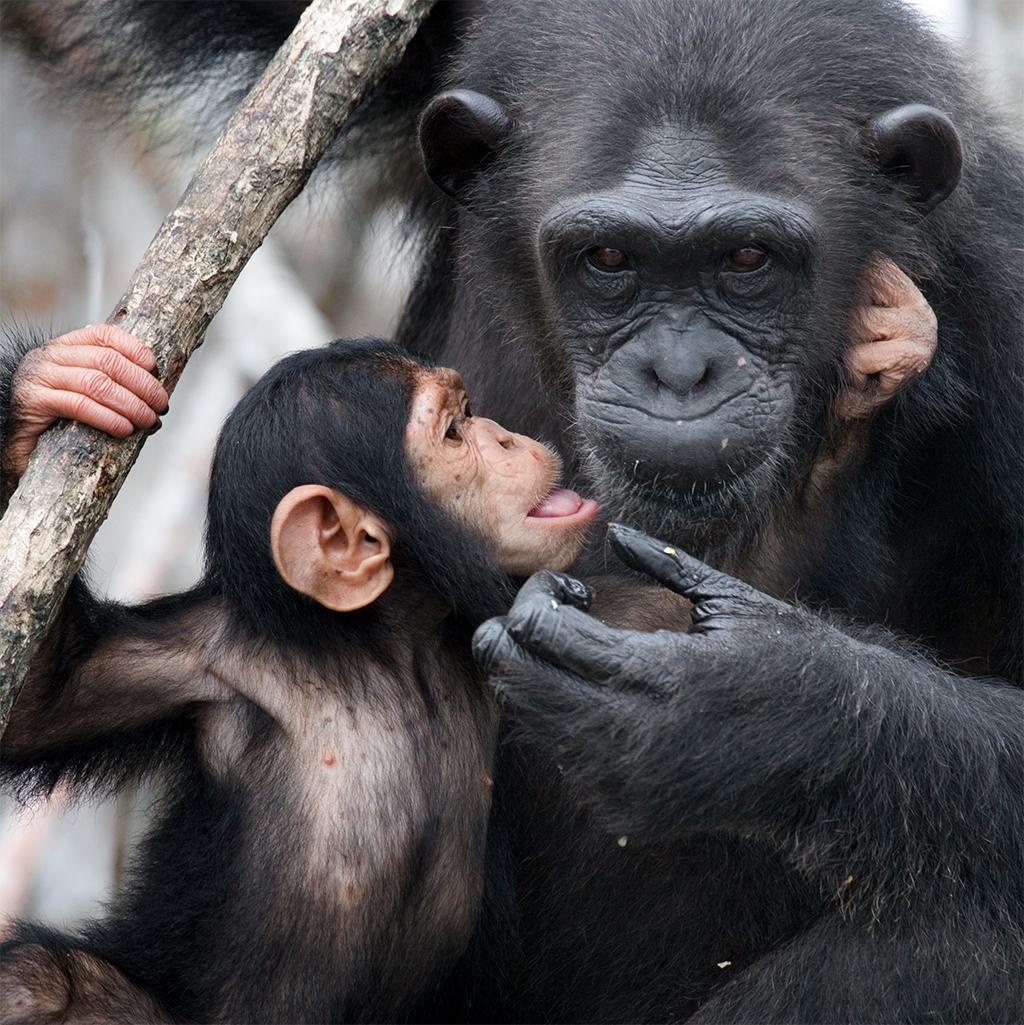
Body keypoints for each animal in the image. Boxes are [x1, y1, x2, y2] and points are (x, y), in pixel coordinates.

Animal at [0, 338, 598, 1025]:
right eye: (454, 431)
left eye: (470, 414)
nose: (503, 437)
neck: (385, 648)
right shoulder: (193, 661)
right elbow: (47, 698)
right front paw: (61, 386)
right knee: (38, 980)